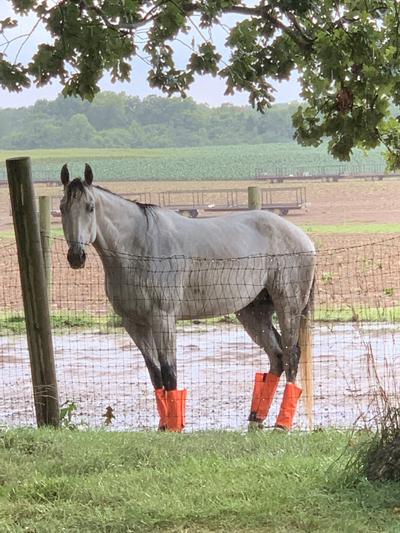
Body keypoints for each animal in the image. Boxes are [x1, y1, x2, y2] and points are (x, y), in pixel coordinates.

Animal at [59, 164, 316, 430]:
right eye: (62, 207)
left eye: (90, 207)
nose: (76, 256)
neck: (139, 247)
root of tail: (302, 238)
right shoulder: (134, 324)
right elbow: (155, 373)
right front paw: (164, 426)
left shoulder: (163, 319)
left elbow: (169, 371)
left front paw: (174, 428)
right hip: (253, 313)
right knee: (277, 356)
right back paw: (255, 420)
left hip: (288, 306)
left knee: (291, 355)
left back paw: (281, 425)